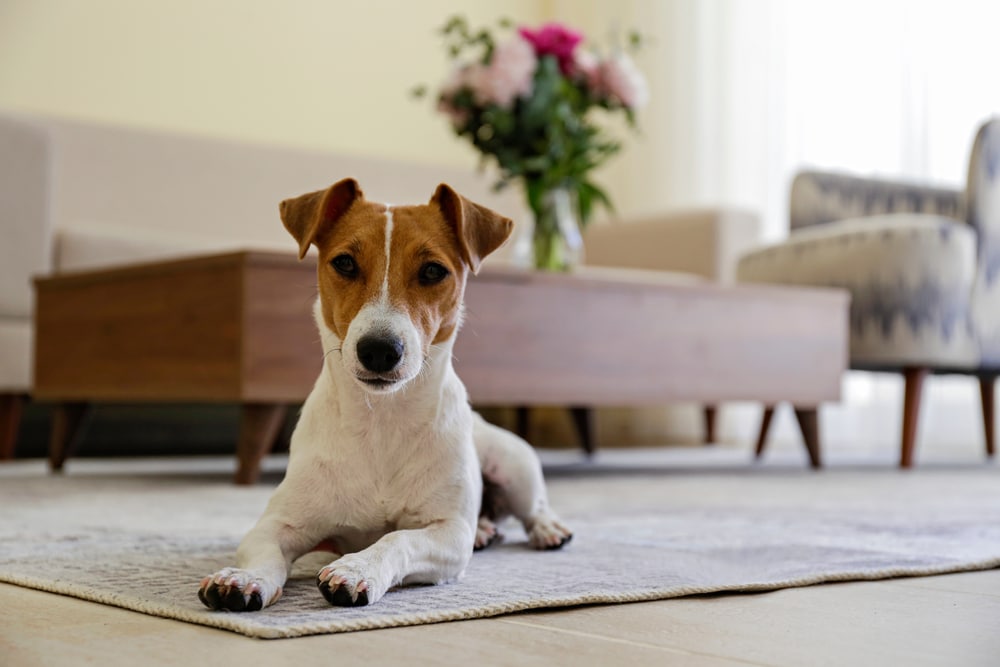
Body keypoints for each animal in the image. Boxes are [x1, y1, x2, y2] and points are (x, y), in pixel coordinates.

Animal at [197, 177, 572, 612]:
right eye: (345, 263)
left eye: (433, 270)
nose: (379, 350)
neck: (382, 419)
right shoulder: (279, 523)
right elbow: (265, 551)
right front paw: (245, 578)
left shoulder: (448, 534)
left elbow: (397, 538)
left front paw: (357, 568)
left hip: (511, 463)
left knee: (532, 506)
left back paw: (546, 528)